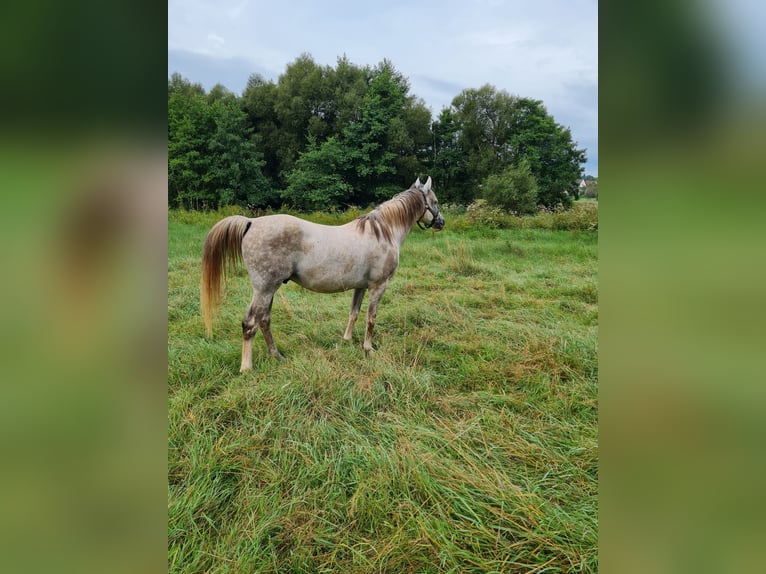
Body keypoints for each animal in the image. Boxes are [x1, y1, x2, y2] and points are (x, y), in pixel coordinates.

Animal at [201, 177, 448, 374]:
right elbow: (371, 318)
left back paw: (276, 356)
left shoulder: (360, 286)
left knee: (264, 321)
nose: (441, 222)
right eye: (435, 201)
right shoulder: (379, 285)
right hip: (264, 289)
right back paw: (246, 368)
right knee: (250, 323)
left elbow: (354, 313)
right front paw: (368, 349)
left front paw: (347, 340)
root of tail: (251, 222)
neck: (384, 232)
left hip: (268, 290)